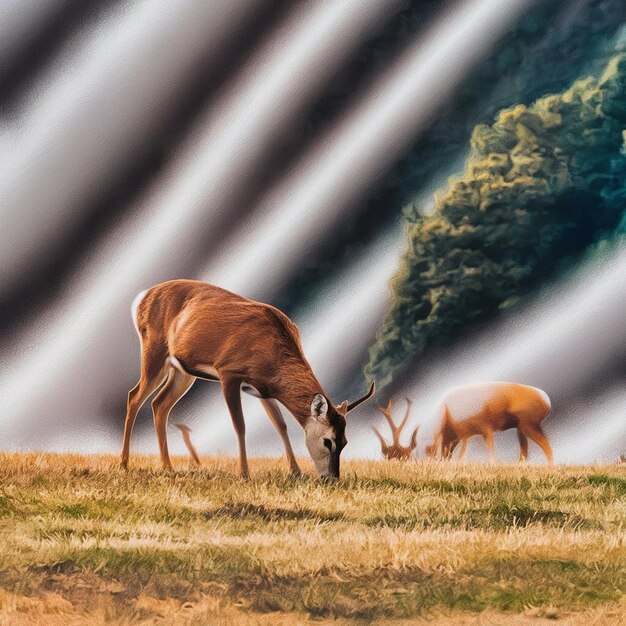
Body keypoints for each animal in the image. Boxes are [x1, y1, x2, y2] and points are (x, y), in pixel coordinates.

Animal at [120, 280, 372, 478]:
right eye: (328, 441)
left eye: (345, 441)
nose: (332, 478)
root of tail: (140, 298)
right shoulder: (229, 373)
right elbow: (239, 425)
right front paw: (244, 473)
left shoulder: (263, 388)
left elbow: (280, 425)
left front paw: (295, 471)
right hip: (154, 353)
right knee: (134, 396)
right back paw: (124, 464)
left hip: (182, 371)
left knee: (159, 403)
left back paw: (167, 467)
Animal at [424, 380, 552, 464]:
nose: (441, 461)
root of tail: (546, 401)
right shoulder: (467, 435)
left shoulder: (485, 430)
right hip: (521, 428)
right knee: (525, 452)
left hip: (529, 426)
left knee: (546, 447)